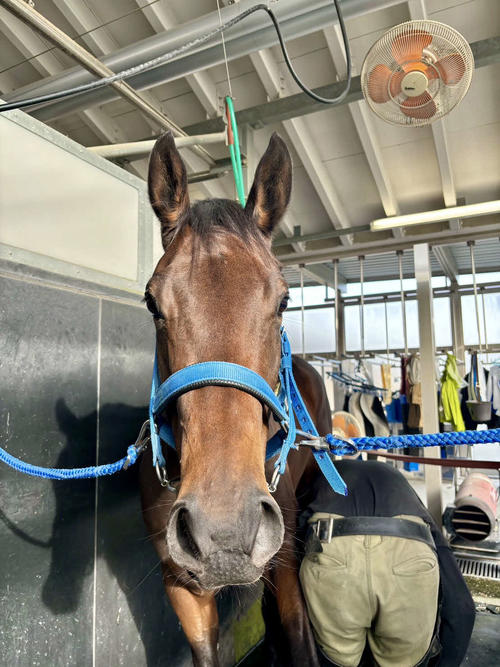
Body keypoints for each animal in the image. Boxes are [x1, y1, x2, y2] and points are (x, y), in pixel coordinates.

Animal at [139, 131, 330, 666]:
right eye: (152, 302)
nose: (226, 531)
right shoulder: (180, 583)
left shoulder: (283, 559)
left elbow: (298, 635)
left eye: (284, 300)